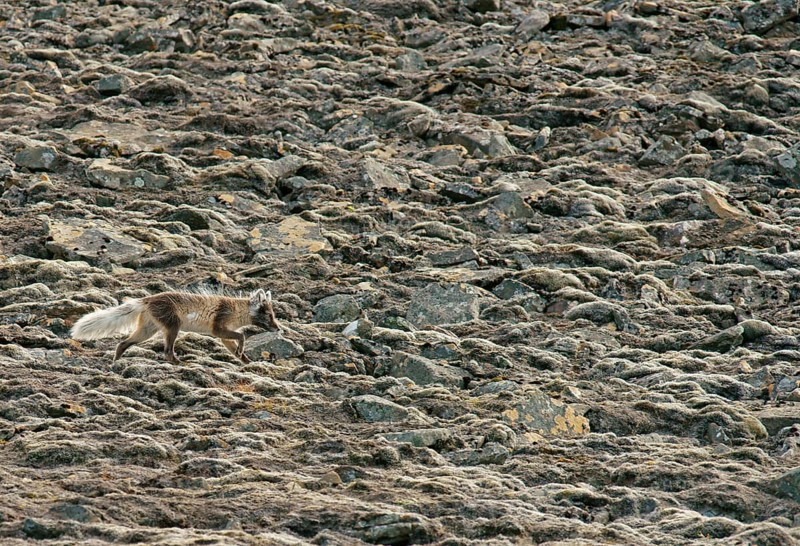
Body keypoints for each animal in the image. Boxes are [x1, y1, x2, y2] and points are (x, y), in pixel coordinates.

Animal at [70, 289, 280, 364]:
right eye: (269, 315)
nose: (278, 328)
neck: (237, 311)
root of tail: (147, 299)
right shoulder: (218, 327)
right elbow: (242, 337)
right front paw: (241, 353)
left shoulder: (223, 335)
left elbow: (234, 344)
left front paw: (246, 361)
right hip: (173, 327)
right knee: (167, 351)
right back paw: (179, 363)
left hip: (148, 330)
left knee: (122, 343)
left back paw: (115, 362)